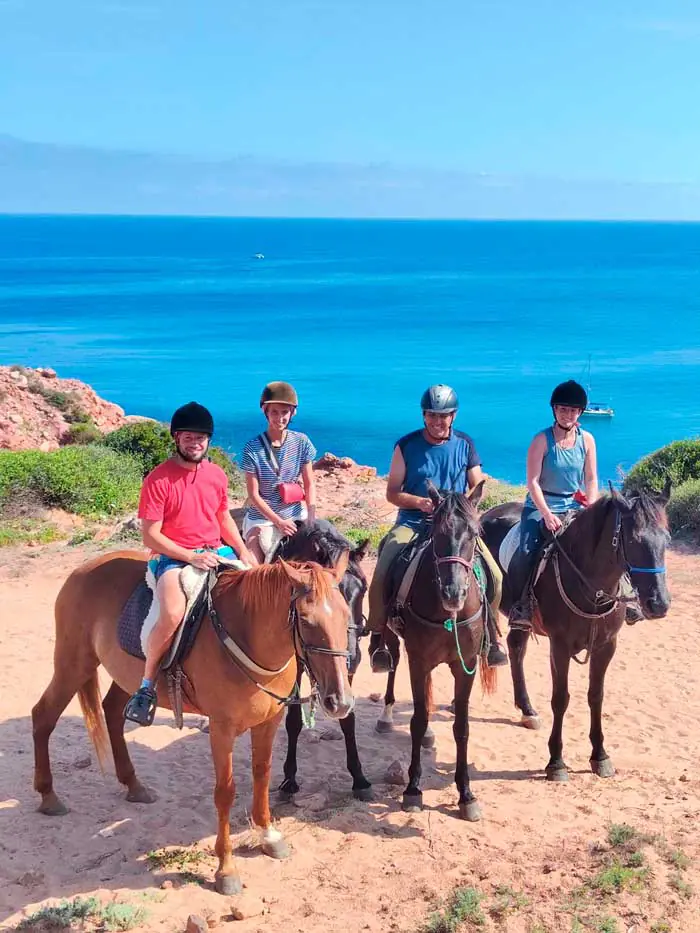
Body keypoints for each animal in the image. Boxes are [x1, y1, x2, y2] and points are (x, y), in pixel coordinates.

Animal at [31, 553, 353, 895]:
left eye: (347, 614)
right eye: (305, 620)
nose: (340, 701)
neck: (246, 634)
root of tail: (84, 569)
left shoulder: (269, 721)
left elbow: (262, 775)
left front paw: (268, 835)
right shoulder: (222, 728)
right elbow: (225, 792)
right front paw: (226, 869)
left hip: (124, 675)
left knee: (113, 712)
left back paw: (133, 785)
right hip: (72, 663)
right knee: (43, 716)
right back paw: (48, 796)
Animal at [271, 520, 374, 801]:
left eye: (364, 589)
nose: (352, 655)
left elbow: (348, 718)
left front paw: (359, 778)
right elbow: (294, 721)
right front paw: (289, 778)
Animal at [373, 480, 497, 820]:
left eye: (475, 533)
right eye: (437, 533)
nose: (454, 593)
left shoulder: (466, 665)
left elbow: (462, 727)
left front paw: (466, 794)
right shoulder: (418, 661)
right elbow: (416, 722)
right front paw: (413, 789)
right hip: (393, 641)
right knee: (391, 665)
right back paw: (387, 715)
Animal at [480, 484, 671, 782]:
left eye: (666, 539)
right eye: (633, 541)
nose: (659, 604)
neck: (588, 583)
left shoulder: (606, 646)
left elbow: (596, 696)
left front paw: (600, 756)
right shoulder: (559, 646)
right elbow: (561, 699)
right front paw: (556, 762)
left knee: (516, 648)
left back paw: (527, 709)